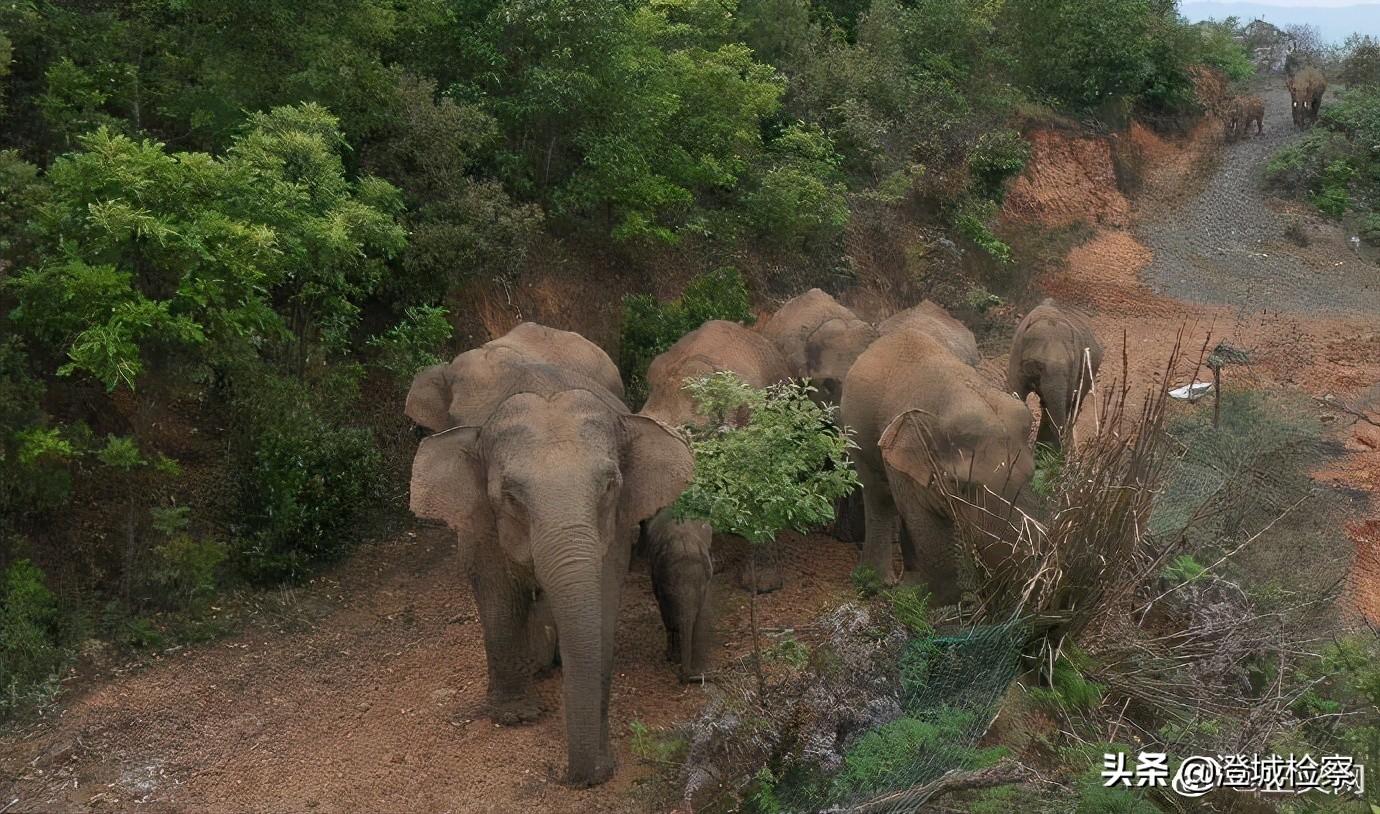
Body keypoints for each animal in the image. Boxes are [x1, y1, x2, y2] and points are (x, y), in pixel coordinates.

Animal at [405, 353, 690, 789]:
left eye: (610, 485)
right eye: (510, 496)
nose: (568, 776)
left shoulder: (615, 525)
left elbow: (602, 600)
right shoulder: (480, 519)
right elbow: (496, 591)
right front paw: (517, 716)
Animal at [839, 328, 1037, 604]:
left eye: (1031, 474)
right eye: (962, 485)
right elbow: (924, 520)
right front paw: (935, 600)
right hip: (857, 429)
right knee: (878, 495)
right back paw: (878, 583)